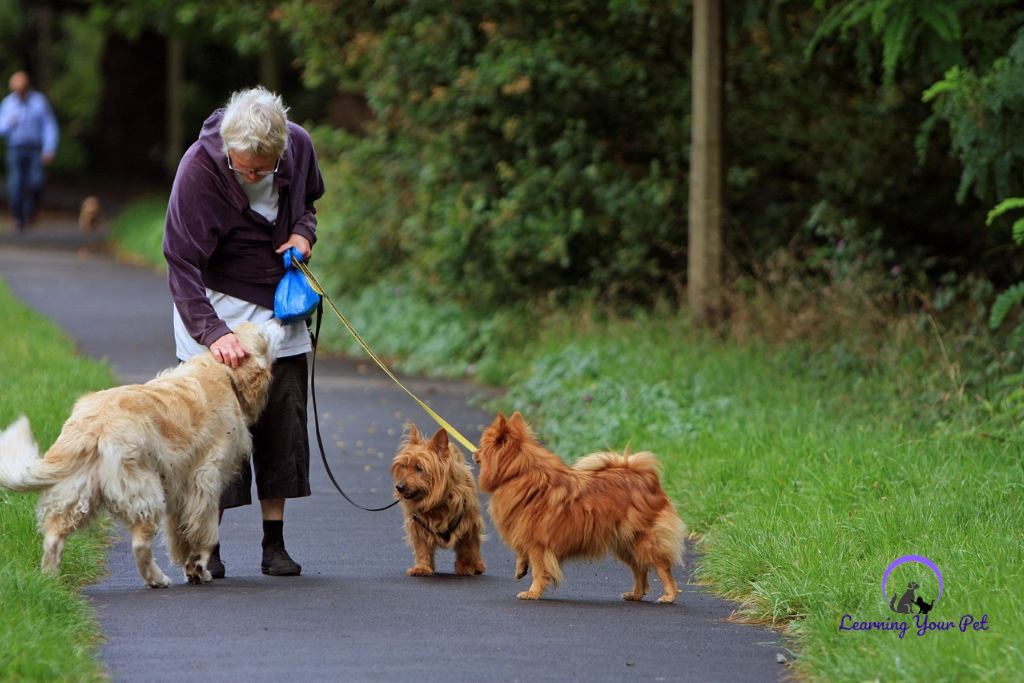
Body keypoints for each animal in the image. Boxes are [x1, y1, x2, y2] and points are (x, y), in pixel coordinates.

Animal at [391, 428, 487, 577]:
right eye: (403, 466)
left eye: (418, 468)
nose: (399, 487)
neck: (436, 504)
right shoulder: (417, 526)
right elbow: (422, 548)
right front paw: (422, 567)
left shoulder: (467, 524)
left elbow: (466, 548)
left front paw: (465, 567)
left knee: (474, 546)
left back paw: (477, 564)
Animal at [473, 409, 688, 602]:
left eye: (482, 446)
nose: (475, 453)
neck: (518, 473)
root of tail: (646, 479)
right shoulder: (524, 531)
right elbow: (522, 555)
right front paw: (520, 569)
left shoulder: (538, 543)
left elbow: (539, 571)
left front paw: (533, 593)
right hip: (625, 543)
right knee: (640, 569)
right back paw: (635, 595)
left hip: (643, 540)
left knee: (662, 566)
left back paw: (669, 596)